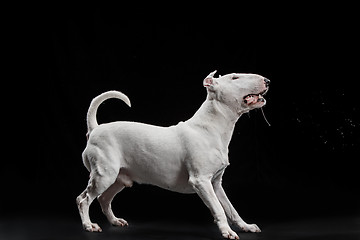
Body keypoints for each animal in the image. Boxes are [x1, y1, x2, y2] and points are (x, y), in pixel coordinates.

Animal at [76, 70, 270, 239]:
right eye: (234, 77)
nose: (267, 81)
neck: (210, 127)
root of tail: (95, 129)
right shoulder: (201, 181)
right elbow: (219, 208)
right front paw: (227, 232)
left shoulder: (215, 184)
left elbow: (231, 208)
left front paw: (246, 226)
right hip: (104, 176)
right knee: (83, 199)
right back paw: (89, 225)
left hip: (118, 179)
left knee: (102, 199)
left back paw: (115, 221)